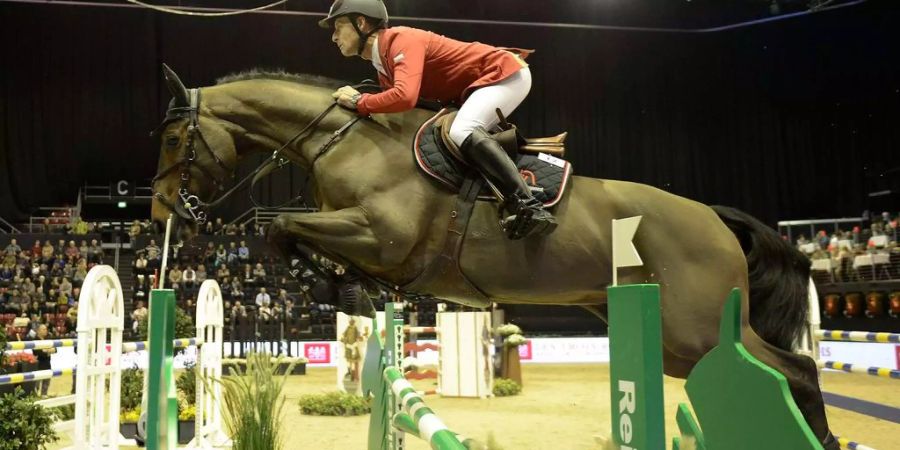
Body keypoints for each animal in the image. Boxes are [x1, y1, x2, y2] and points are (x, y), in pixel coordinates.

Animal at [149, 65, 836, 448]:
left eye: (176, 137)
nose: (163, 212)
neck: (341, 141)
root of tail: (715, 218)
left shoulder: (379, 234)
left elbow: (282, 229)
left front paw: (341, 288)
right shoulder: (357, 234)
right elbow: (286, 234)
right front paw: (347, 290)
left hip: (694, 330)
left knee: (796, 370)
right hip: (673, 343)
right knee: (785, 369)